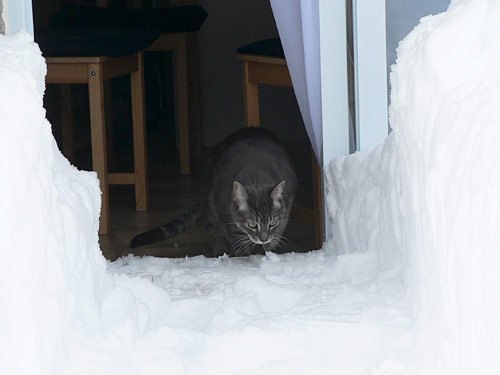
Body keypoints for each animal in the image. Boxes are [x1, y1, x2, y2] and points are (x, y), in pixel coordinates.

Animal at [129, 128, 296, 258]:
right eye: (252, 224)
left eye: (272, 223)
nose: (264, 239)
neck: (256, 175)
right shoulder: (223, 213)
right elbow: (234, 238)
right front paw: (243, 254)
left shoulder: (287, 202)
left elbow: (281, 226)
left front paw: (270, 248)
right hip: (211, 204)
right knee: (211, 227)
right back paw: (220, 251)